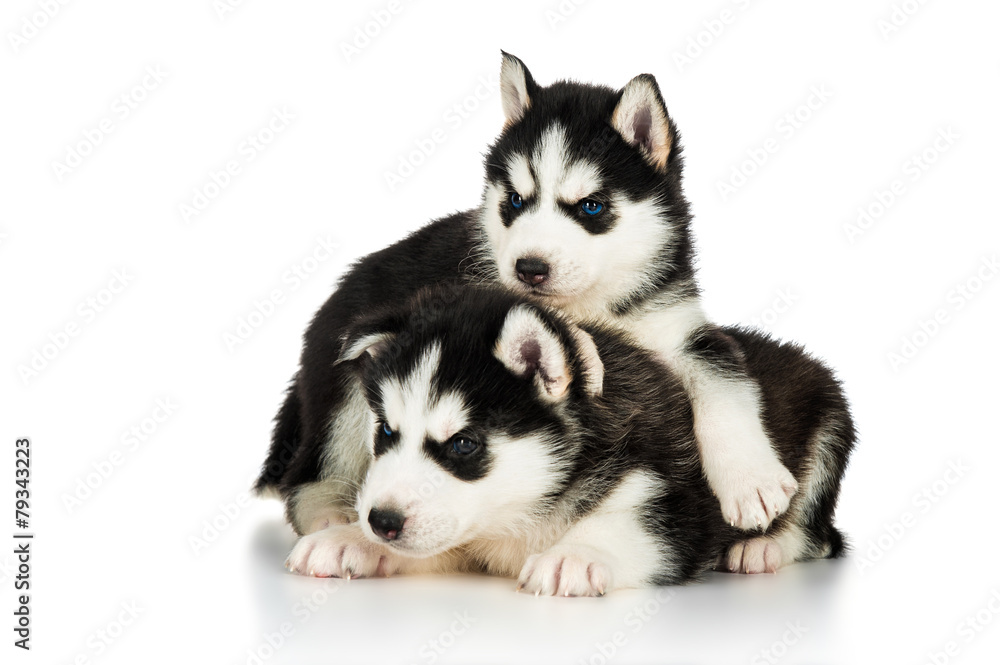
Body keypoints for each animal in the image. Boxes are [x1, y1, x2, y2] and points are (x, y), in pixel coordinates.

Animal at [260, 54, 812, 544]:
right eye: (515, 201)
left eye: (591, 207)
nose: (529, 268)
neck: (592, 304)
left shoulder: (680, 329)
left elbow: (723, 380)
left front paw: (752, 482)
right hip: (343, 387)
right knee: (306, 476)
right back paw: (333, 519)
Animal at [286, 286, 856, 592]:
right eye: (386, 431)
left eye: (464, 446)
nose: (381, 521)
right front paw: (349, 540)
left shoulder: (675, 505)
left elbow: (628, 529)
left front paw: (575, 555)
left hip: (831, 420)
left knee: (817, 535)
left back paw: (761, 548)